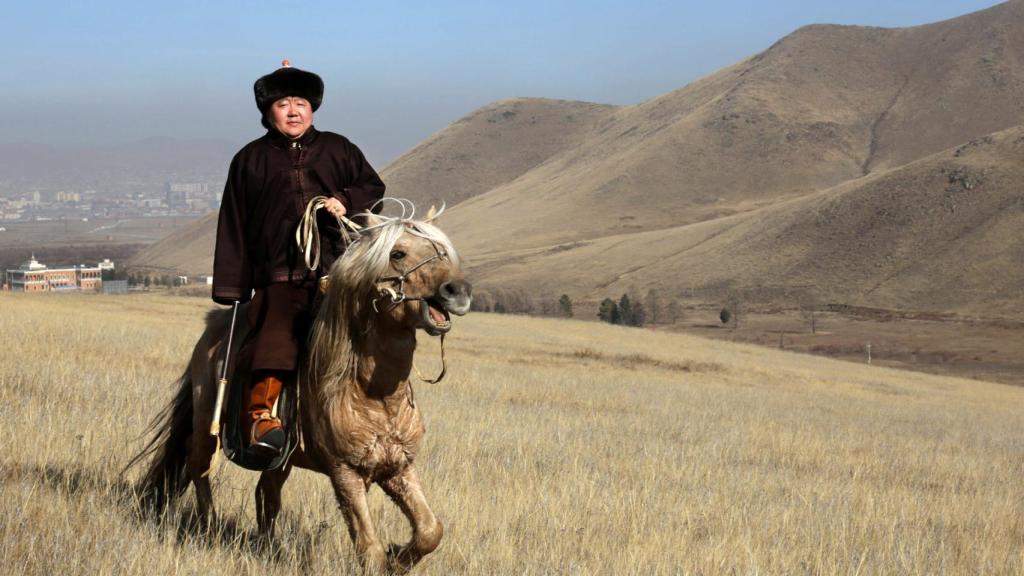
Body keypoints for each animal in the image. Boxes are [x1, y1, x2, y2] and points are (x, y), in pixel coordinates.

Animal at [128, 207, 472, 573]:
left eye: (440, 250)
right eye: (397, 254)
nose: (458, 290)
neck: (374, 394)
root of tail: (213, 327)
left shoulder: (398, 468)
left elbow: (430, 530)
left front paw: (398, 558)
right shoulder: (345, 473)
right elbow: (369, 549)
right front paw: (388, 557)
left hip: (280, 458)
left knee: (266, 492)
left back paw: (268, 547)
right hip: (209, 422)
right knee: (199, 466)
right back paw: (210, 527)